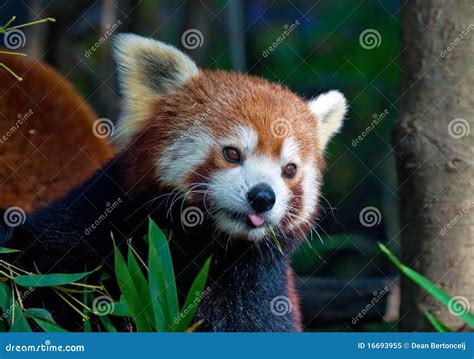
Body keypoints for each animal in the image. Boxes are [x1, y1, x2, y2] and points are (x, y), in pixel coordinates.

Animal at [0, 35, 348, 334]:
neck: (201, 245)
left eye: (289, 170)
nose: (263, 197)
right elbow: (37, 267)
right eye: (232, 153)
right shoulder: (91, 226)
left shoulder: (257, 288)